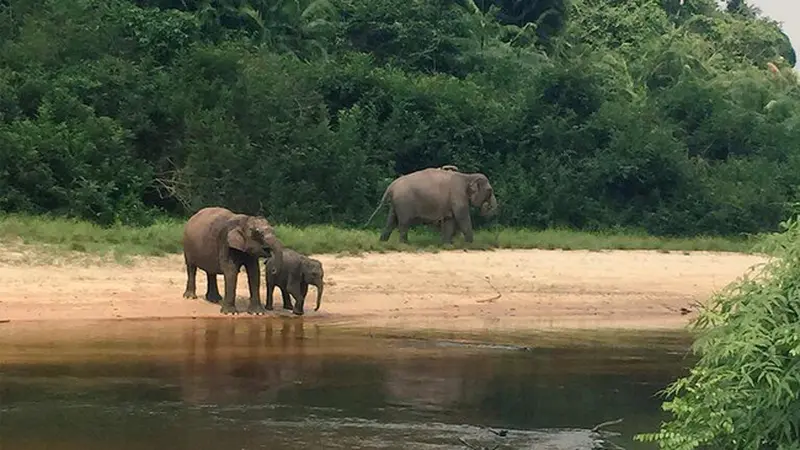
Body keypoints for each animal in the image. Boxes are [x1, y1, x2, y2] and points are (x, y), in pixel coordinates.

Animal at [364, 166, 500, 244]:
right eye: (489, 191)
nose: (487, 207)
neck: (467, 176)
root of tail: (391, 186)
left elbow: (450, 220)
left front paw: (447, 244)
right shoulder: (458, 195)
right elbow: (462, 217)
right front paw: (471, 244)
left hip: (396, 204)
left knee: (391, 221)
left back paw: (383, 243)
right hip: (404, 203)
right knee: (403, 222)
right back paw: (404, 244)